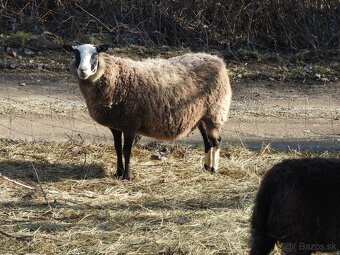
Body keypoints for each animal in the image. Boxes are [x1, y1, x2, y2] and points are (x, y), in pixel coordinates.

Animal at [63, 43, 232, 179]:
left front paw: (127, 176)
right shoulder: (116, 125)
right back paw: (206, 167)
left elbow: (126, 151)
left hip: (215, 111)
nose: (83, 71)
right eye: (76, 54)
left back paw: (214, 168)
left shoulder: (130, 124)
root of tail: (217, 60)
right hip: (200, 115)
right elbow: (117, 149)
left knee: (216, 141)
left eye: (95, 54)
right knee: (207, 141)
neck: (116, 79)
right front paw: (118, 173)